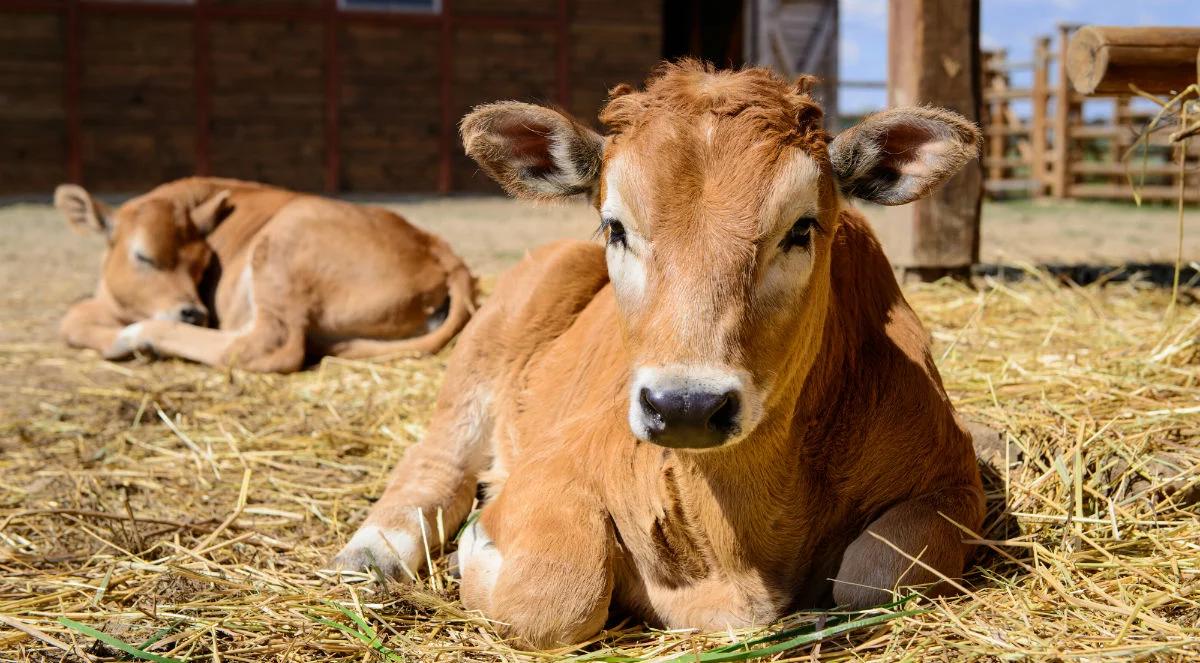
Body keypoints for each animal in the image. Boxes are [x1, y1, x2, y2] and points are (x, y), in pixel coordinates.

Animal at [56, 176, 475, 372]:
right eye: (143, 256)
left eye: (202, 264)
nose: (194, 313)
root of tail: (439, 248)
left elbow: (73, 316)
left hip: (283, 242)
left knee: (267, 346)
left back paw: (139, 339)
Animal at [336, 62, 984, 648]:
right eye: (615, 227)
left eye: (801, 228)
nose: (686, 407)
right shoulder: (558, 462)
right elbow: (554, 597)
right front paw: (476, 545)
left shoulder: (952, 483)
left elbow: (872, 579)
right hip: (487, 344)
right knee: (437, 461)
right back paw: (373, 553)